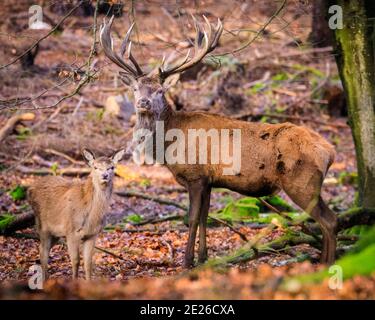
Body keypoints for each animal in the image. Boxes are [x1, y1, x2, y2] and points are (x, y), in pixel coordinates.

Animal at [28, 149, 125, 278]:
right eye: (95, 167)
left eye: (112, 167)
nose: (105, 175)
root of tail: (29, 190)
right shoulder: (71, 232)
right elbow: (75, 261)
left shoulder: (92, 235)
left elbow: (88, 263)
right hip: (42, 225)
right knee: (43, 251)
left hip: (55, 233)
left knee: (42, 249)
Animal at [101, 16, 340, 266]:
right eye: (135, 88)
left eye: (159, 90)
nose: (143, 102)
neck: (168, 144)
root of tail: (330, 152)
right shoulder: (209, 181)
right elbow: (205, 217)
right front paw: (203, 258)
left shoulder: (195, 176)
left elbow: (192, 218)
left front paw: (187, 262)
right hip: (310, 183)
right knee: (331, 220)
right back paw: (325, 262)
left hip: (301, 182)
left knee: (329, 220)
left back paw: (327, 264)